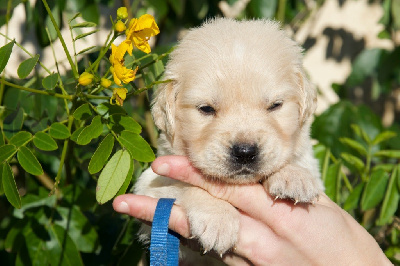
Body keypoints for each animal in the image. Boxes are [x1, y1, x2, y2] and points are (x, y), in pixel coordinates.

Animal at [136, 18, 324, 260]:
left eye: (275, 105)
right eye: (206, 109)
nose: (245, 152)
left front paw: (293, 177)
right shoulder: (150, 185)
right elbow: (185, 185)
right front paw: (218, 220)